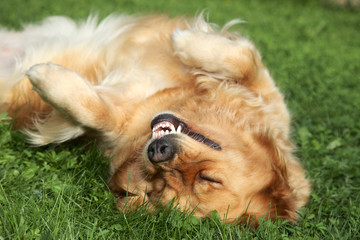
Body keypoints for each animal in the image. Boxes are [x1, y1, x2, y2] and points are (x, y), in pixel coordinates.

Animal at [0, 13, 310, 225]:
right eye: (210, 177)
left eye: (160, 186)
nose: (159, 151)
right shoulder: (267, 97)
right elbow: (244, 58)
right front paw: (184, 40)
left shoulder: (117, 123)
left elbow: (94, 112)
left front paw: (47, 80)